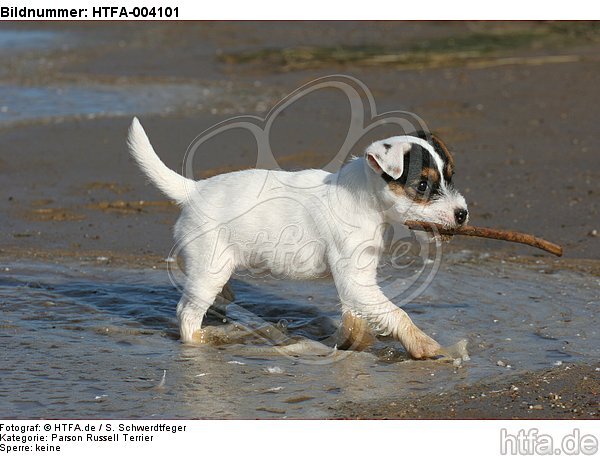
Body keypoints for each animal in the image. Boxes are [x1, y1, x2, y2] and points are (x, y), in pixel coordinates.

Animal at [127, 118, 468, 360]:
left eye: (450, 176)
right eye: (422, 185)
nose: (462, 214)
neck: (364, 199)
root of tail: (194, 190)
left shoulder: (357, 279)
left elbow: (356, 319)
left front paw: (353, 343)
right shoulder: (356, 281)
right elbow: (397, 312)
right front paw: (422, 344)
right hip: (208, 269)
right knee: (186, 315)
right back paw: (201, 342)